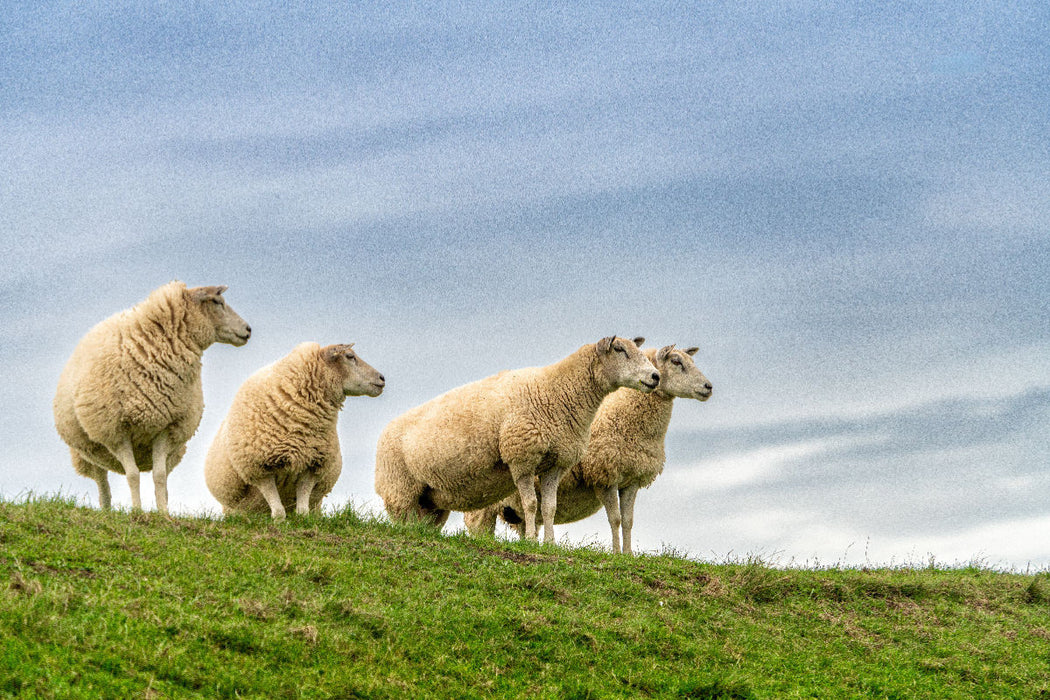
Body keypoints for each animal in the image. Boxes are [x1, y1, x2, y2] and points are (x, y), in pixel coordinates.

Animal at [54, 279, 250, 514]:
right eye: (217, 302)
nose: (248, 329)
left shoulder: (166, 427)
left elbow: (159, 476)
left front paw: (163, 513)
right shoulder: (117, 430)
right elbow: (132, 475)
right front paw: (138, 512)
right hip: (92, 448)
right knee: (102, 480)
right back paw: (107, 510)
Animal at [204, 342, 386, 522]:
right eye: (350, 356)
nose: (382, 378)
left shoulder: (312, 464)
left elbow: (302, 510)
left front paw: (302, 520)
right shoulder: (259, 468)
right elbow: (278, 511)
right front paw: (279, 522)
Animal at [373, 335, 659, 545]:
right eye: (620, 350)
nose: (655, 376)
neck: (559, 391)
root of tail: (386, 429)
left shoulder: (555, 464)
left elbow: (549, 508)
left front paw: (549, 543)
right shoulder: (521, 457)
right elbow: (531, 504)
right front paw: (531, 541)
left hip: (431, 500)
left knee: (423, 521)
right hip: (400, 488)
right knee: (403, 520)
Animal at [468, 344, 713, 554]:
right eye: (676, 361)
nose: (708, 387)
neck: (625, 418)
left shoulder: (632, 479)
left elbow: (628, 520)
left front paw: (628, 554)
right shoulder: (605, 476)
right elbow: (615, 518)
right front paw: (616, 553)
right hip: (484, 505)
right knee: (480, 529)